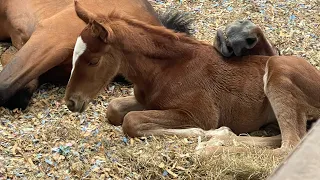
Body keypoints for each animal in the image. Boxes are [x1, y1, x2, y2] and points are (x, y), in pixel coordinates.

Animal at [64, 1, 320, 153]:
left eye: (93, 60)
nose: (71, 102)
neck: (167, 69)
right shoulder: (147, 100)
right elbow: (114, 109)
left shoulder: (197, 114)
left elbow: (131, 121)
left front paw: (204, 133)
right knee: (282, 138)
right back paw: (220, 139)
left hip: (278, 74)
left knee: (289, 146)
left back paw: (213, 145)